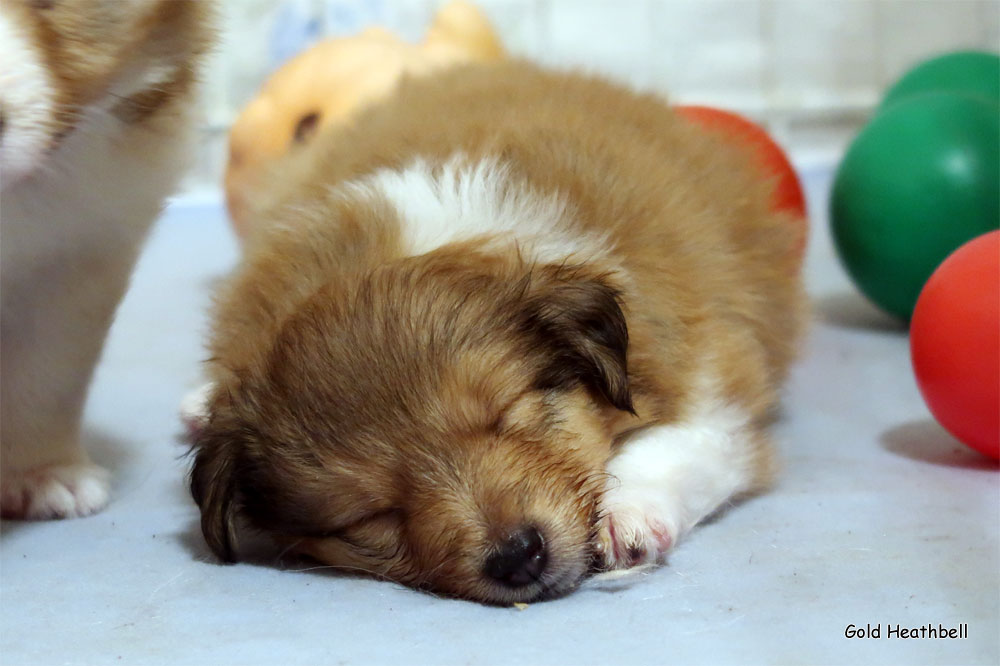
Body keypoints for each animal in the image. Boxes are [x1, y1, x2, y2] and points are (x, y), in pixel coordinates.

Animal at [188, 62, 808, 600]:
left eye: (506, 414)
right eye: (369, 513)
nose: (517, 556)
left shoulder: (713, 383)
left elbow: (681, 444)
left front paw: (626, 514)